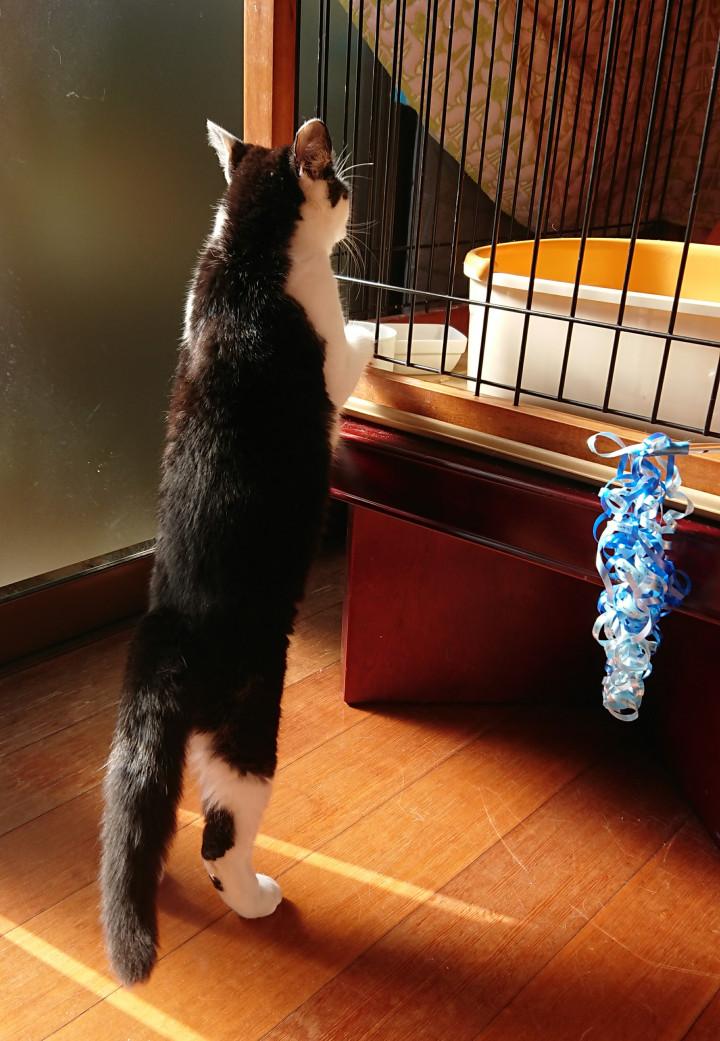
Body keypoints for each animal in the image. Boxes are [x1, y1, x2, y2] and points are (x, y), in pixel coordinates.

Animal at [100, 118, 373, 986]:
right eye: (338, 184)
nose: (353, 202)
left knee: (150, 817)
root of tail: (167, 636)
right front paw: (396, 322)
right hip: (249, 730)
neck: (245, 255)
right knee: (221, 838)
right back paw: (256, 896)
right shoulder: (329, 345)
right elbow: (354, 344)